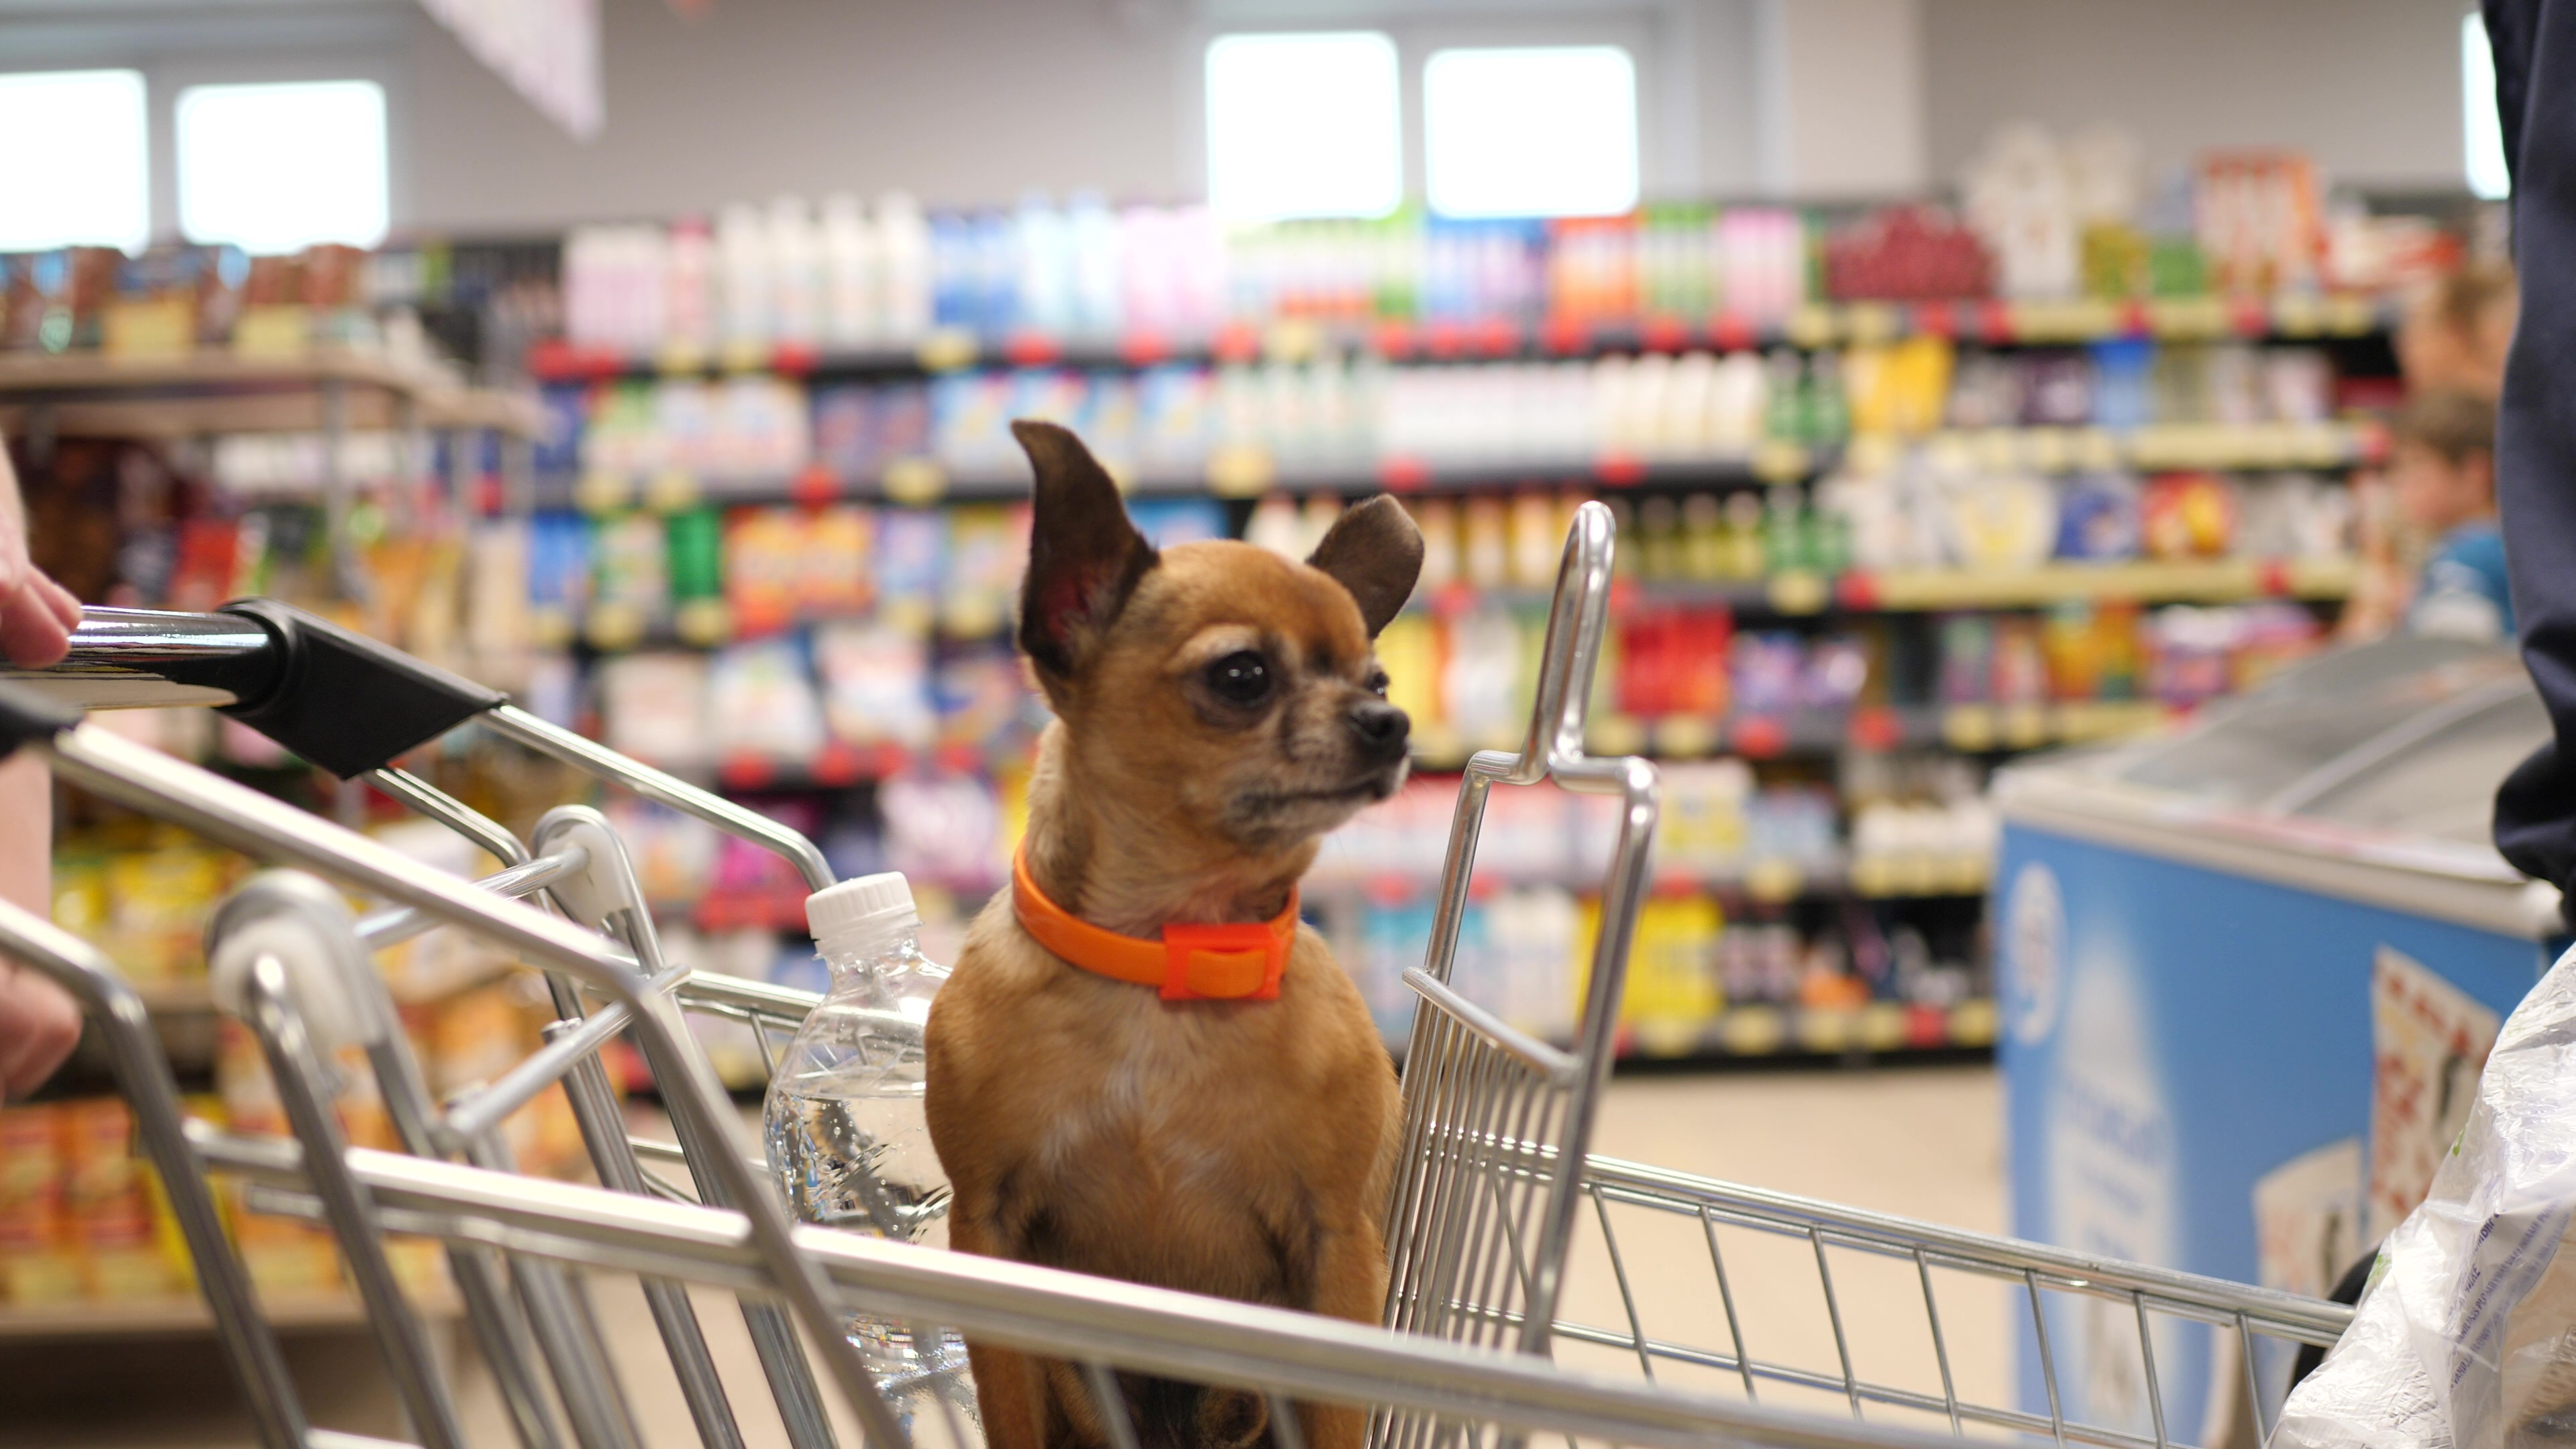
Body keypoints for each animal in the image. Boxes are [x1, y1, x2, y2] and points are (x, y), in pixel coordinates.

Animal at [927, 423, 1421, 1444]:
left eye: (1379, 678)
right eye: (1242, 676)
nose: (1390, 721)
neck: (1171, 954)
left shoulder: (1338, 1248)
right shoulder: (988, 1234)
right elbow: (1009, 1415)